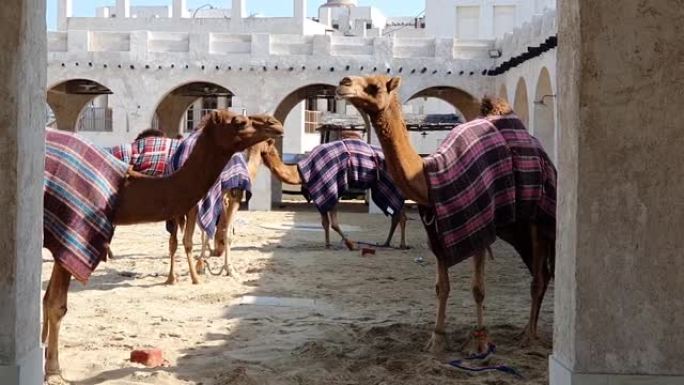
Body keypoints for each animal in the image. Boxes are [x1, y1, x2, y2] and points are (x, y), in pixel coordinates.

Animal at [42, 109, 284, 380]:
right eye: (240, 122)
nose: (275, 123)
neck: (120, 191)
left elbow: (47, 299)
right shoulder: (69, 231)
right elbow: (56, 304)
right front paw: (54, 372)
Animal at [258, 136, 406, 248]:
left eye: (271, 150)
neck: (301, 172)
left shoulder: (331, 188)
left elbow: (334, 223)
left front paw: (351, 245)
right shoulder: (320, 192)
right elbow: (325, 223)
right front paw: (328, 244)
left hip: (388, 183)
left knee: (400, 213)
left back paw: (402, 244)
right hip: (380, 186)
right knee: (396, 213)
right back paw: (387, 243)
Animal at [336, 75, 556, 354]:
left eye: (374, 87)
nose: (343, 82)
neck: (432, 175)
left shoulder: (479, 223)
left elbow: (478, 289)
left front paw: (480, 342)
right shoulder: (438, 232)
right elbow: (442, 287)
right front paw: (437, 339)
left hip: (537, 219)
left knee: (538, 277)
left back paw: (529, 337)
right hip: (515, 229)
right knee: (543, 274)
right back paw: (528, 330)